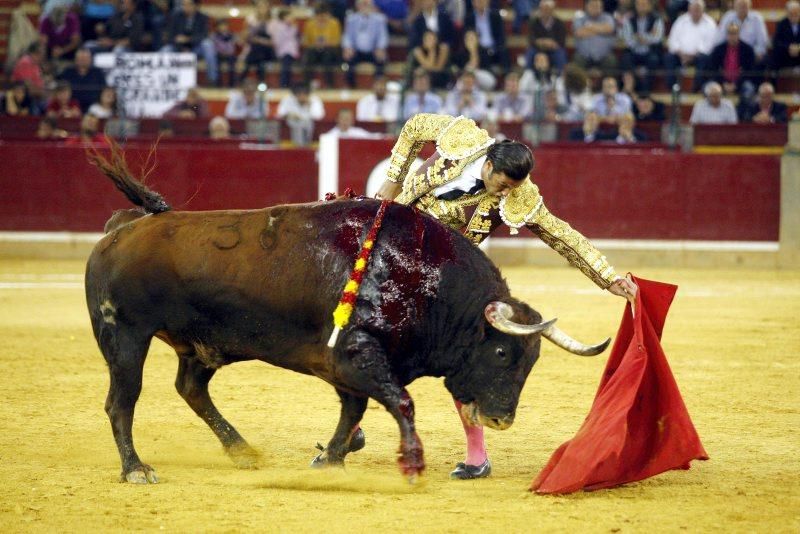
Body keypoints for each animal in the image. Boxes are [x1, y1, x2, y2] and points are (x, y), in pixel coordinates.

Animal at [86, 147, 608, 486]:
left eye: (532, 361)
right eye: (501, 352)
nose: (503, 419)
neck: (425, 279)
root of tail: (122, 229)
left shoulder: (347, 364)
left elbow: (355, 408)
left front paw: (332, 459)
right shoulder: (356, 352)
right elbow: (401, 403)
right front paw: (411, 462)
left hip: (198, 346)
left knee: (191, 388)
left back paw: (243, 451)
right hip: (125, 335)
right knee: (121, 401)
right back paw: (136, 469)